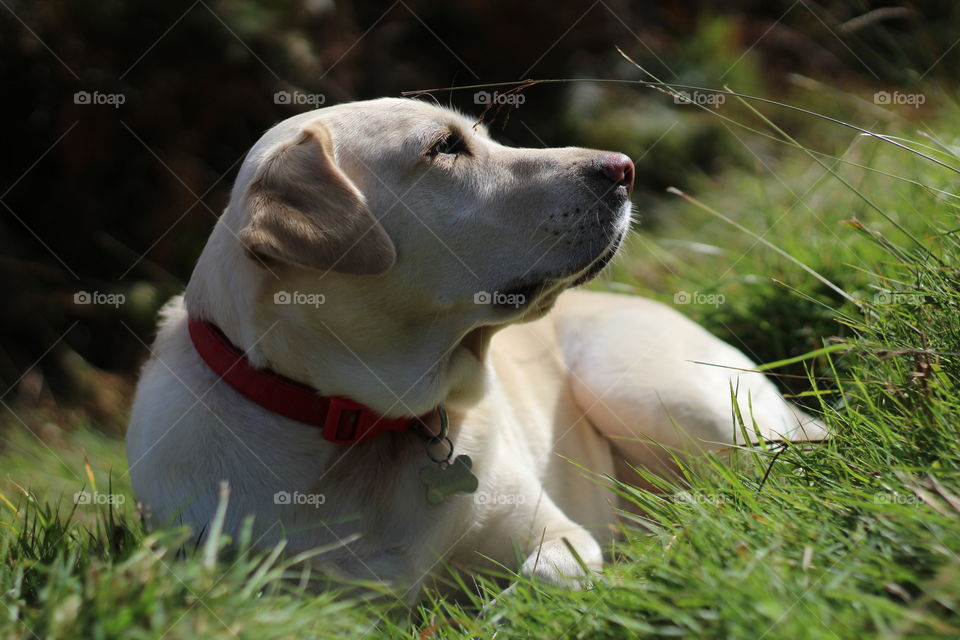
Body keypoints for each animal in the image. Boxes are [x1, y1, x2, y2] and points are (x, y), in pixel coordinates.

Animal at [124, 97, 820, 604]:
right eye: (444, 148)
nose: (624, 168)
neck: (362, 422)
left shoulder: (557, 533)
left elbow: (539, 575)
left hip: (647, 389)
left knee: (783, 465)